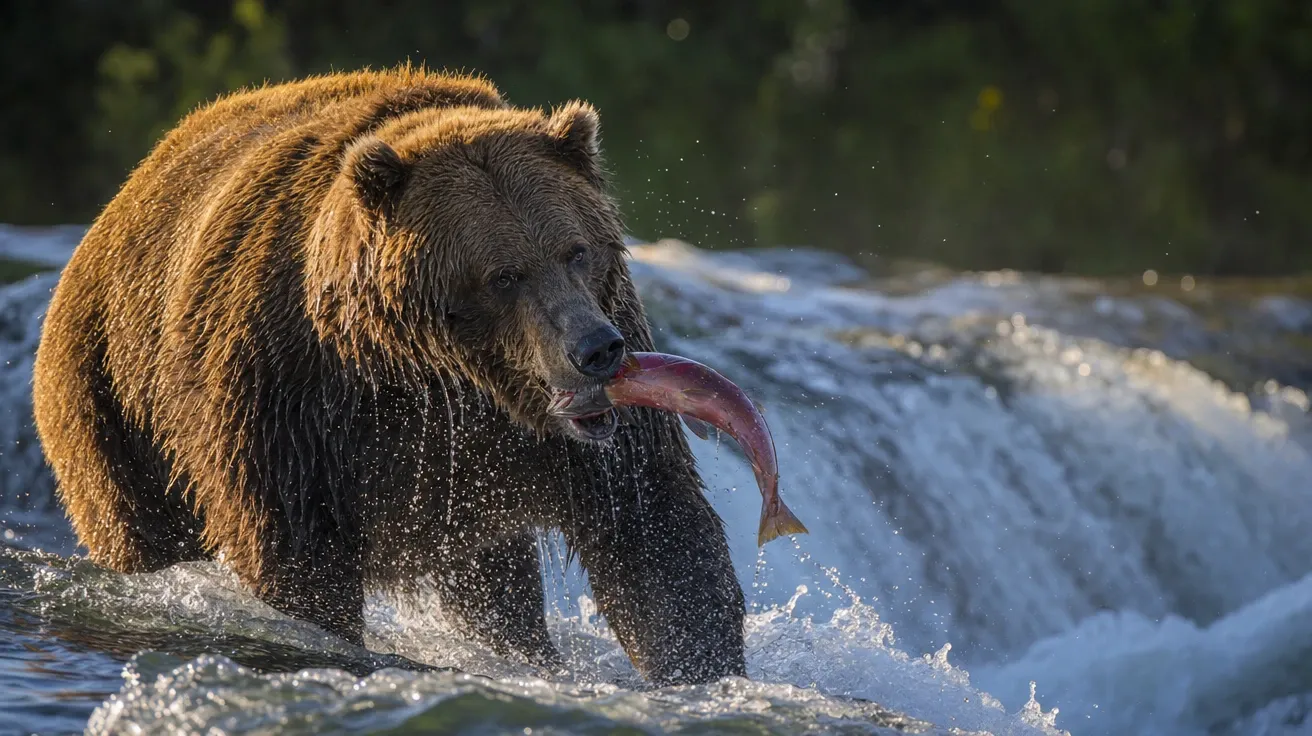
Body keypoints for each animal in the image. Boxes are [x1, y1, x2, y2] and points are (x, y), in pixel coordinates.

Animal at [31, 67, 746, 685]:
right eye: (503, 274)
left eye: (577, 250)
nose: (596, 349)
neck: (438, 375)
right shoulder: (291, 398)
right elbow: (298, 557)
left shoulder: (541, 440)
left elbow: (654, 534)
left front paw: (700, 670)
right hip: (112, 407)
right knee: (143, 530)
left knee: (494, 584)